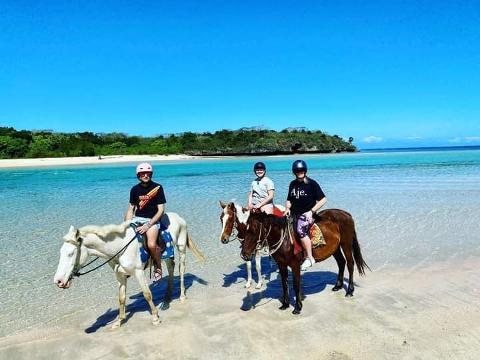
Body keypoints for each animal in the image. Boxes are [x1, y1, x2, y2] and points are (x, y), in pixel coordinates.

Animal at [54, 212, 204, 330]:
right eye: (61, 252)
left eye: (71, 253)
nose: (58, 281)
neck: (119, 247)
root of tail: (178, 217)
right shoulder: (119, 275)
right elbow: (121, 298)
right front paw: (119, 321)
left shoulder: (138, 272)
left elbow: (147, 294)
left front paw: (155, 318)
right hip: (167, 254)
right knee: (171, 268)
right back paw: (166, 300)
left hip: (181, 247)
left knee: (181, 269)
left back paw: (182, 296)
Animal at [240, 210, 372, 314]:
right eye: (244, 230)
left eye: (254, 230)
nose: (244, 255)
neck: (285, 239)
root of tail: (346, 214)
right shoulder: (281, 265)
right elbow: (284, 284)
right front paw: (285, 304)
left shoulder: (295, 265)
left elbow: (296, 285)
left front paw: (297, 307)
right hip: (335, 248)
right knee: (341, 263)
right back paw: (338, 286)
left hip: (346, 244)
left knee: (350, 264)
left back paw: (349, 291)